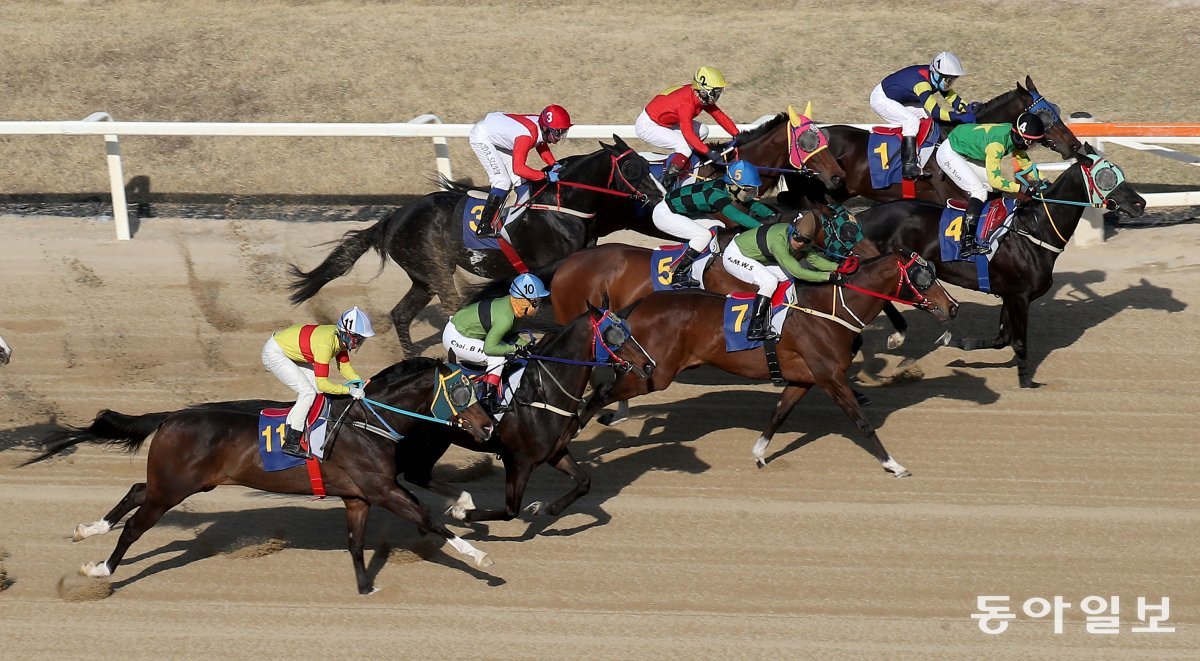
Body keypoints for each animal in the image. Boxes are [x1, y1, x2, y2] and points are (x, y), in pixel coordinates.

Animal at [19, 359, 496, 597]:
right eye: (461, 390)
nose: (489, 426)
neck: (368, 422)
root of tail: (171, 415)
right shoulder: (382, 489)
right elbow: (428, 520)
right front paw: (481, 559)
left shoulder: (358, 497)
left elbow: (356, 542)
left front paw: (365, 587)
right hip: (173, 488)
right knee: (136, 525)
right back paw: (102, 568)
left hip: (174, 483)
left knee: (137, 491)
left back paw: (88, 530)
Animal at [290, 134, 667, 359]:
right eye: (633, 168)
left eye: (648, 164)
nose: (660, 196)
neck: (565, 206)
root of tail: (393, 219)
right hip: (435, 269)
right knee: (451, 306)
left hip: (422, 278)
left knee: (401, 314)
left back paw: (412, 357)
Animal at [576, 251, 960, 475]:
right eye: (924, 277)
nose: (953, 306)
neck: (828, 312)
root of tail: (635, 307)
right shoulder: (831, 376)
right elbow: (862, 423)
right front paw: (893, 463)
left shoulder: (805, 378)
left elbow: (778, 414)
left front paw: (759, 453)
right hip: (655, 373)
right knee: (603, 392)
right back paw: (581, 425)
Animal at [859, 142, 1147, 386]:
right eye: (1106, 177)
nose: (1140, 203)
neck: (1035, 230)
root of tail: (863, 216)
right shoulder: (1019, 296)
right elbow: (1019, 342)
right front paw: (1027, 382)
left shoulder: (1010, 295)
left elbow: (1002, 339)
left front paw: (957, 343)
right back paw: (897, 335)